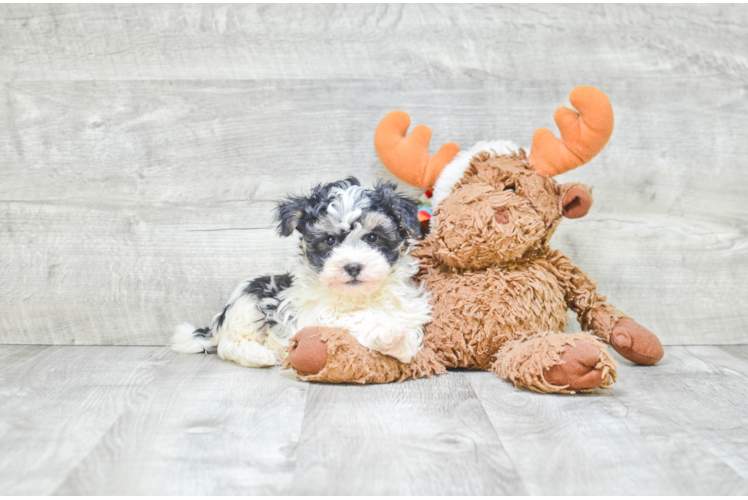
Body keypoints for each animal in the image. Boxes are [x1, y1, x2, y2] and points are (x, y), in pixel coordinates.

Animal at [168, 179, 426, 368]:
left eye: (373, 237)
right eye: (329, 240)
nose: (353, 267)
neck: (358, 296)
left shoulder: (408, 309)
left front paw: (403, 344)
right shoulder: (316, 316)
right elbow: (355, 317)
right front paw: (389, 331)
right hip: (248, 301)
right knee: (228, 345)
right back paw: (260, 355)